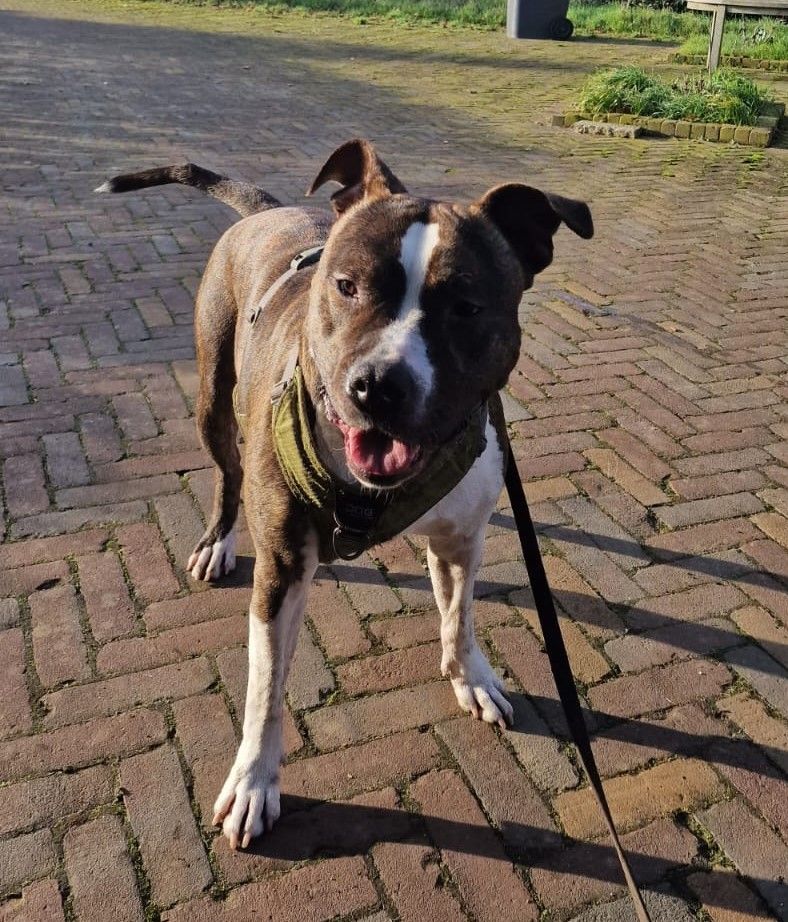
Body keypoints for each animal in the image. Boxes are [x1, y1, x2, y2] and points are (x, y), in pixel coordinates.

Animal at [98, 140, 593, 850]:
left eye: (467, 307)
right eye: (346, 286)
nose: (378, 384)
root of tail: (268, 211)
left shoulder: (460, 539)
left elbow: (459, 615)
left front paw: (471, 676)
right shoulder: (280, 571)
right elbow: (265, 691)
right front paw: (253, 783)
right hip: (213, 401)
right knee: (226, 473)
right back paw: (217, 542)